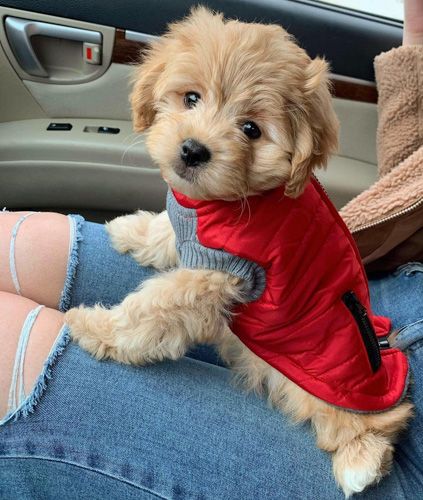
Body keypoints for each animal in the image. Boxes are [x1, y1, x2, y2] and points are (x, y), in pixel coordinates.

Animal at [67, 7, 414, 496]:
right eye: (191, 98)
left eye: (251, 129)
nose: (193, 150)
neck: (238, 199)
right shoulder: (198, 234)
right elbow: (168, 230)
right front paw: (132, 230)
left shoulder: (222, 273)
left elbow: (153, 307)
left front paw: (96, 328)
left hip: (336, 390)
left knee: (366, 422)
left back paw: (362, 458)